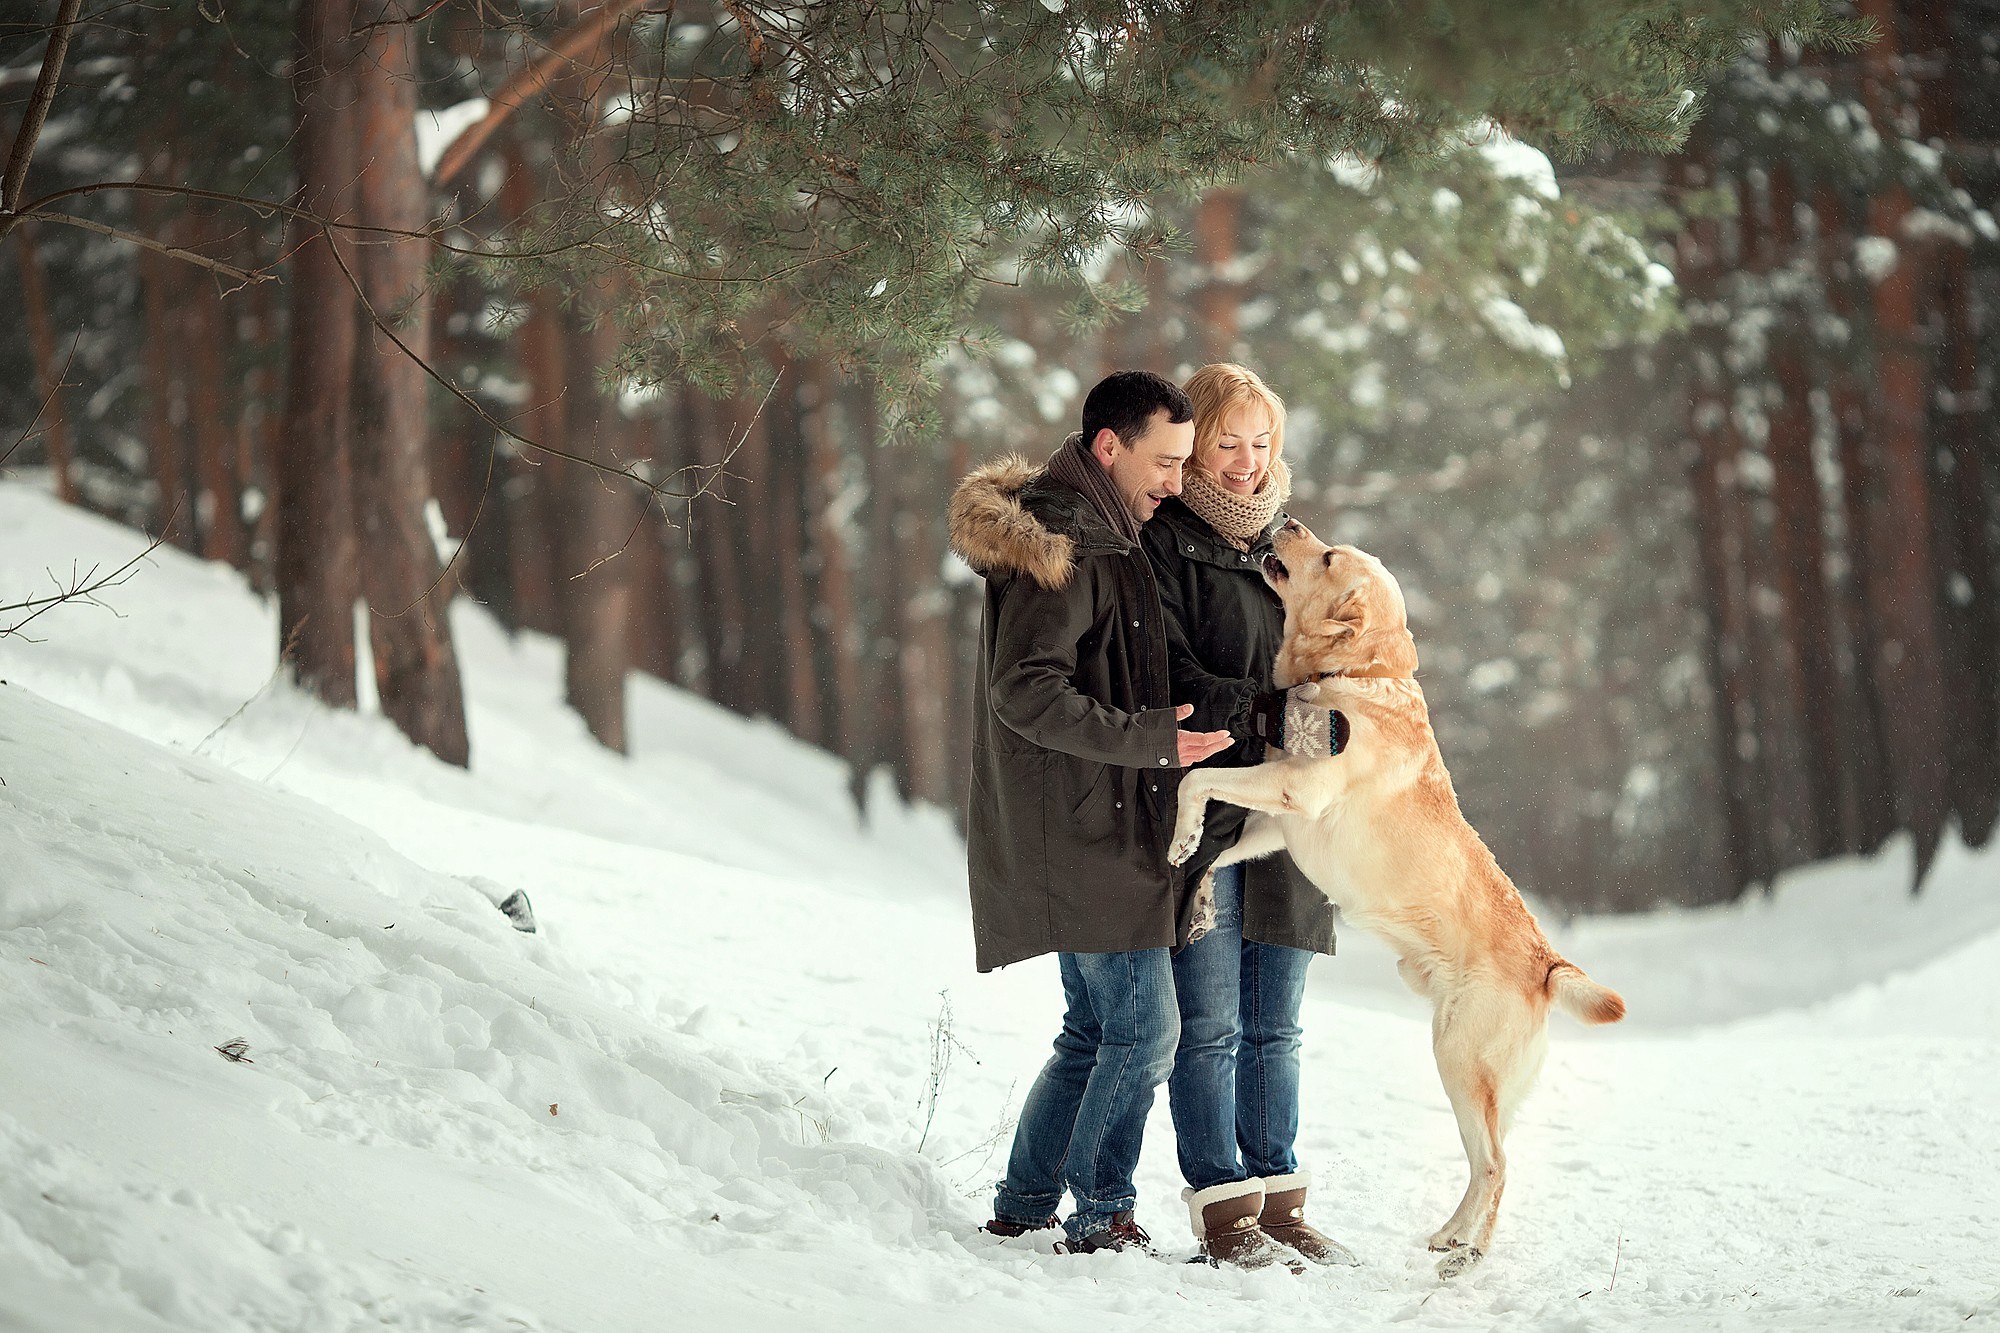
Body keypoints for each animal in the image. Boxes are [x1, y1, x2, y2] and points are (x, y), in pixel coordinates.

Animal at [1168, 520, 1624, 1280]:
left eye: (1327, 556)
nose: (1287, 522)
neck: (1349, 678)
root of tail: (1547, 961)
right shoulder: (1276, 824)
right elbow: (1214, 841)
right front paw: (1196, 884)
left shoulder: (1295, 792)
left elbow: (1193, 780)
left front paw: (1178, 839)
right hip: (1463, 1065)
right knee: (1486, 1161)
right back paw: (1449, 1235)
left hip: (1460, 1058)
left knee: (1498, 1164)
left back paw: (1468, 1256)